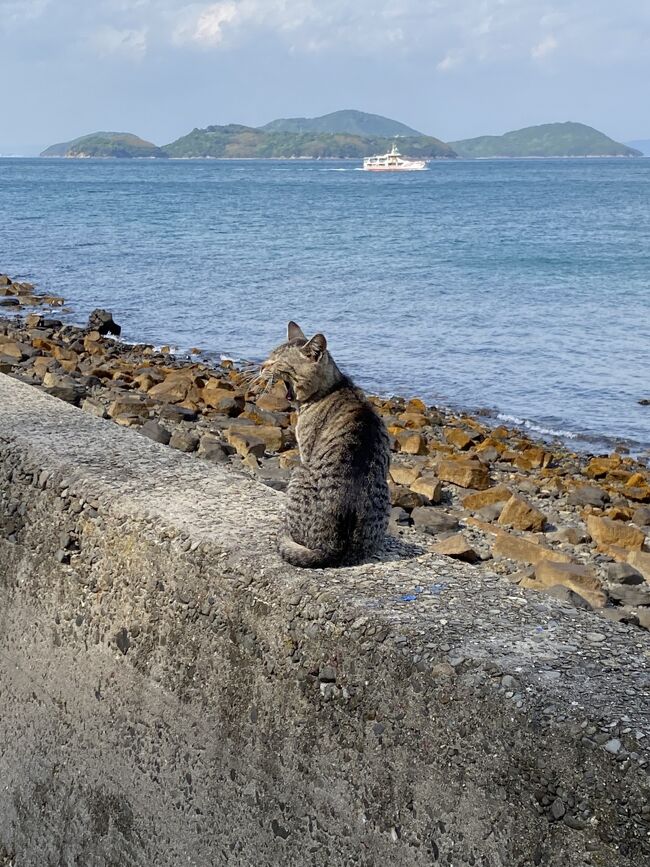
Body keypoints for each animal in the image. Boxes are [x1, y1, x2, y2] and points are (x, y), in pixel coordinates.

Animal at [260, 322, 390, 568]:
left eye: (278, 362)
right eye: (269, 356)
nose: (262, 366)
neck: (331, 387)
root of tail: (332, 548)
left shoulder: (304, 451)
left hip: (299, 472)